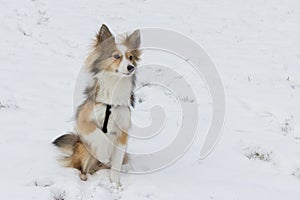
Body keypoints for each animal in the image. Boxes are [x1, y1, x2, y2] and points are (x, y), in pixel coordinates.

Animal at [52, 24, 142, 185]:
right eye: (116, 56)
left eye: (131, 57)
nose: (131, 67)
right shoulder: (83, 120)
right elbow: (99, 135)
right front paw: (103, 153)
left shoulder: (123, 132)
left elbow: (116, 163)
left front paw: (115, 184)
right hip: (82, 147)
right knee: (81, 166)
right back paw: (84, 176)